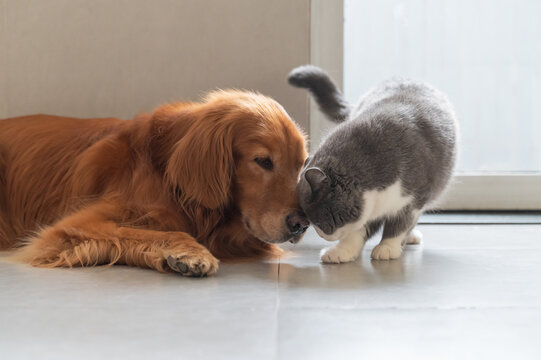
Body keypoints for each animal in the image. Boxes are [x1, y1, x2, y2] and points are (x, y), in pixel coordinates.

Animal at [286, 65, 456, 262]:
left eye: (321, 221)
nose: (322, 235)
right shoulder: (370, 208)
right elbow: (357, 232)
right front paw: (341, 251)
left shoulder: (412, 200)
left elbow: (399, 225)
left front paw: (388, 247)